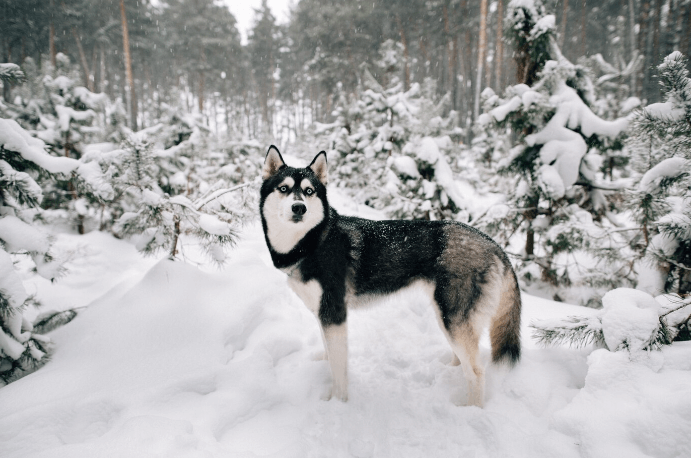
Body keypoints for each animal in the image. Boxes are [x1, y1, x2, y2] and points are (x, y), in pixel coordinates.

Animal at [262, 145, 520, 406]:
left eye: (309, 191)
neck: (313, 242)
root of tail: (492, 243)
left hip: (452, 319)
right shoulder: (323, 313)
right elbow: (328, 352)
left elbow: (339, 369)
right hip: (450, 319)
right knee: (462, 360)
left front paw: (338, 402)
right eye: (283, 188)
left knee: (476, 372)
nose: (299, 207)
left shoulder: (334, 314)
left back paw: (470, 408)